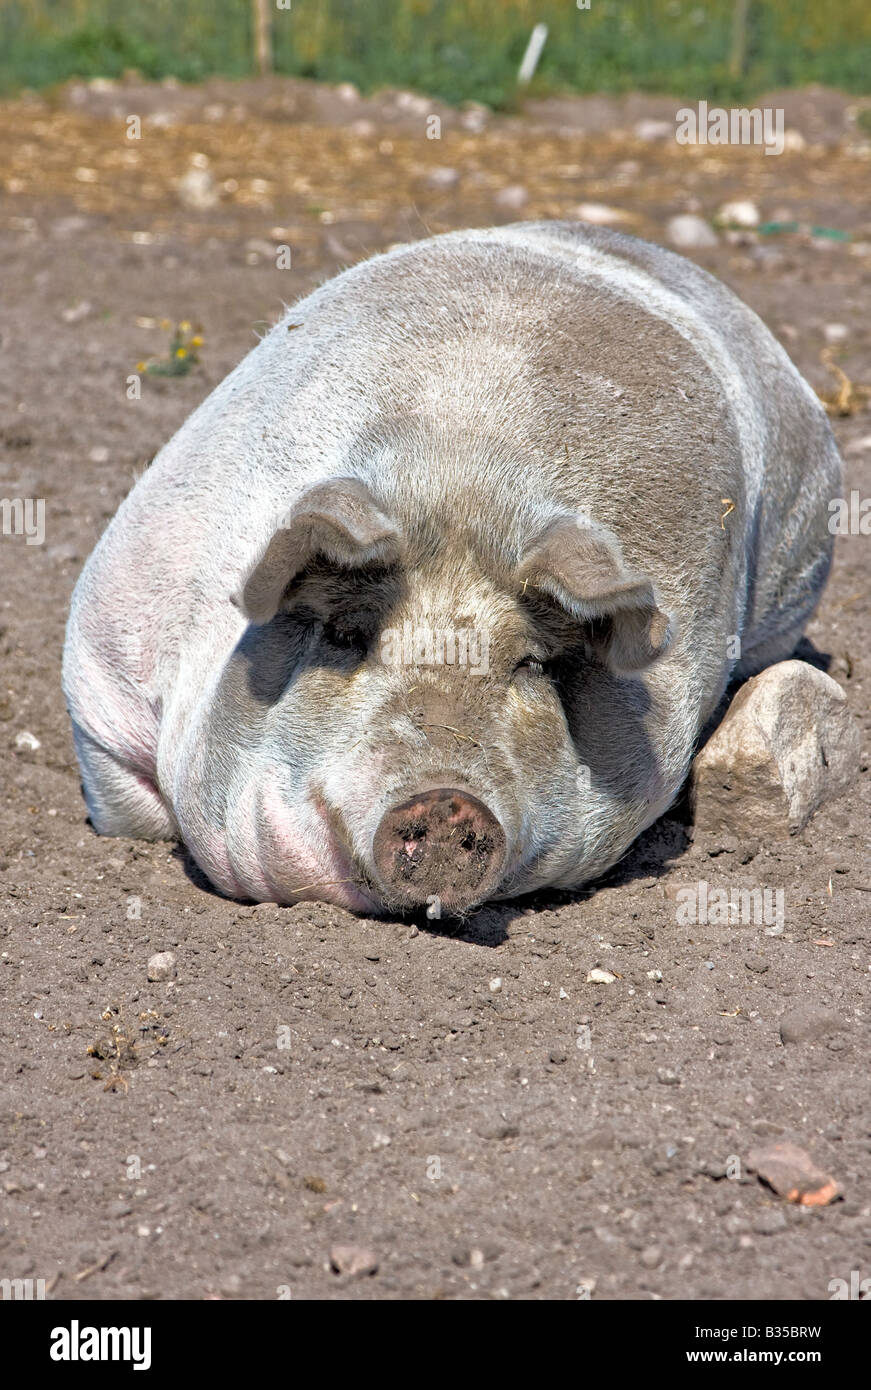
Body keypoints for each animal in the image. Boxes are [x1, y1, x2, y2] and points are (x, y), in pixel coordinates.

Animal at [62, 221, 841, 914]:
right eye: (345, 635)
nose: (445, 798)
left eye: (530, 664)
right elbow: (130, 808)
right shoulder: (101, 676)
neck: (458, 483)